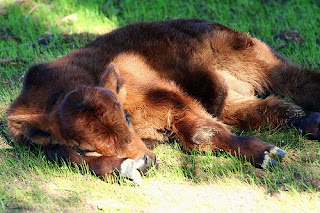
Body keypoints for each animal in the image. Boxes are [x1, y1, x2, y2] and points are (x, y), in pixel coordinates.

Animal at [6, 19, 318, 184]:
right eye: (85, 146)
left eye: (126, 118)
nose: (146, 160)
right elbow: (67, 157)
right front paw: (125, 167)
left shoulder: (169, 98)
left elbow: (201, 132)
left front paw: (266, 154)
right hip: (232, 97)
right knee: (271, 108)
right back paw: (312, 124)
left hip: (255, 58)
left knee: (300, 82)